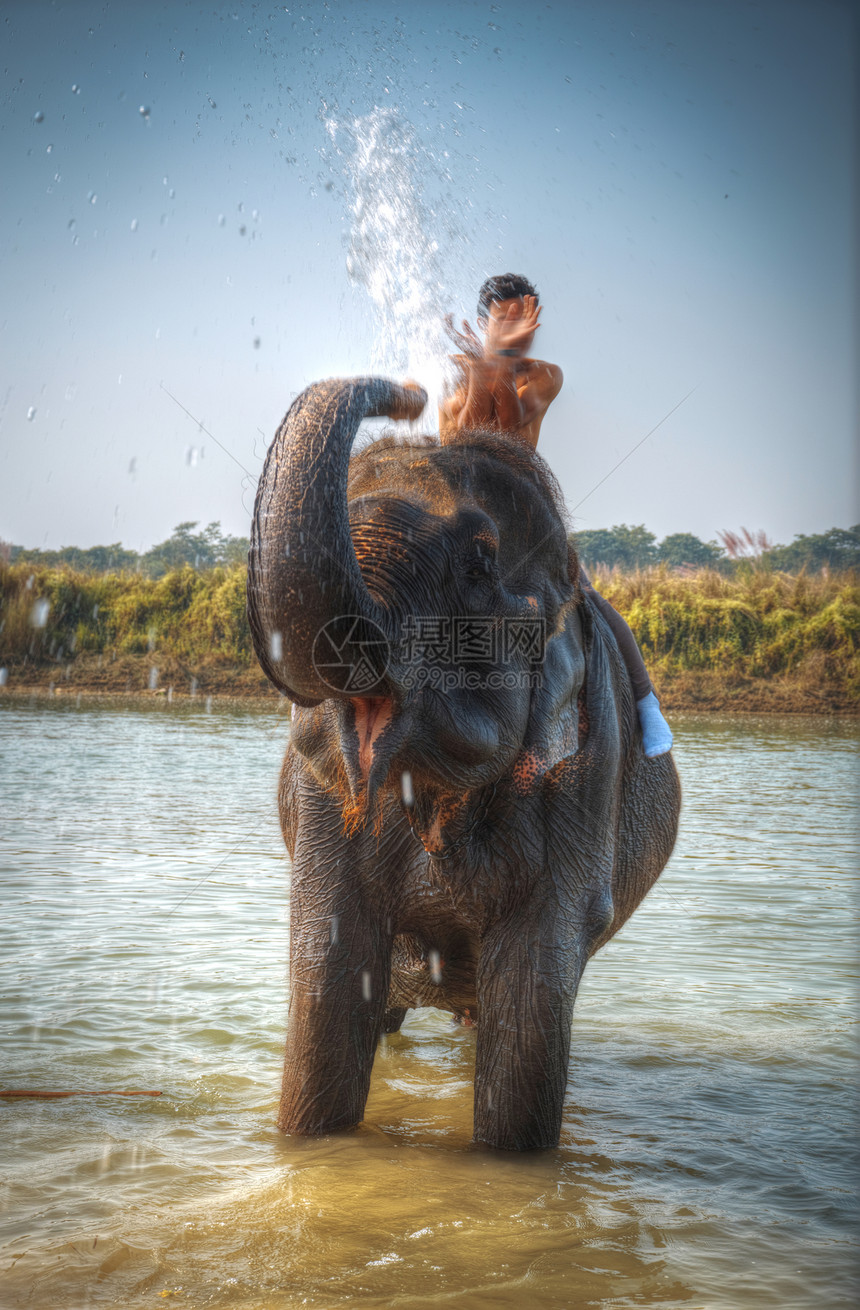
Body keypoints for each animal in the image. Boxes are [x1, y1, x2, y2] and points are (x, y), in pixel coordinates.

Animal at [245, 377, 681, 1147]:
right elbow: (329, 967)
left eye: (479, 561)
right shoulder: (322, 797)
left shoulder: (584, 776)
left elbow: (534, 991)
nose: (410, 395)